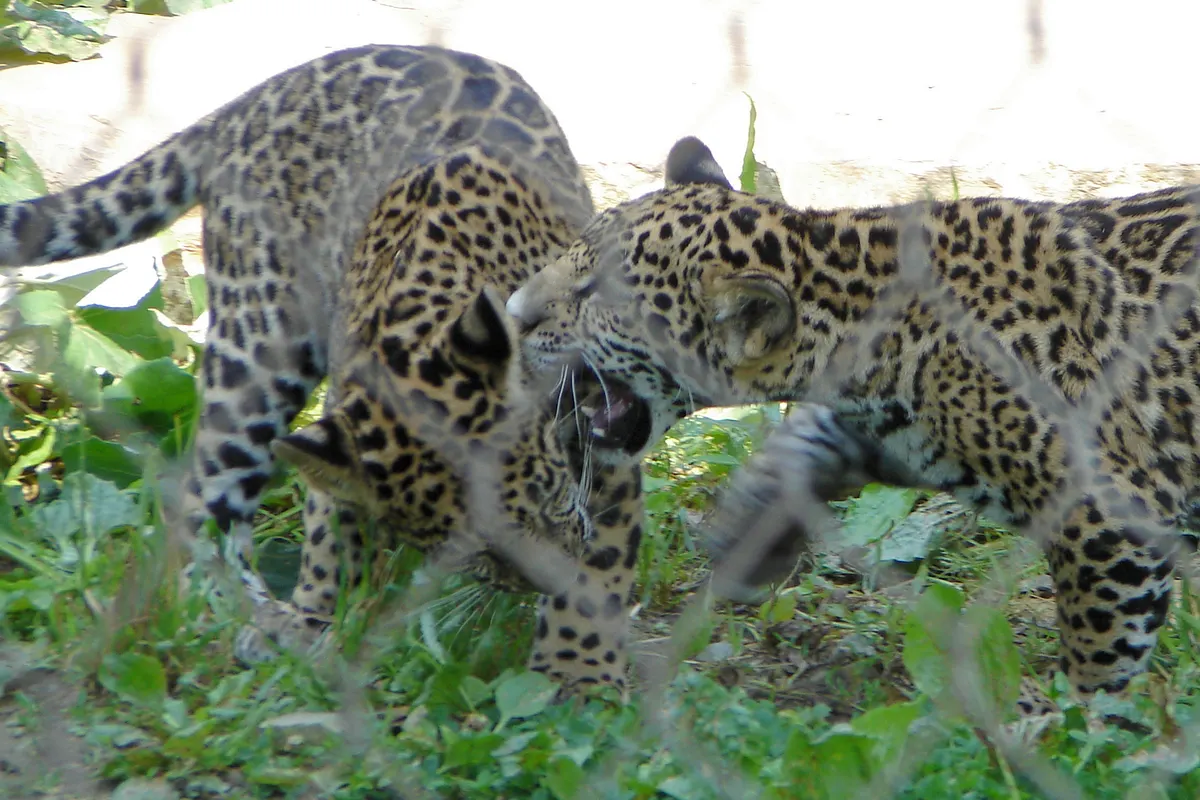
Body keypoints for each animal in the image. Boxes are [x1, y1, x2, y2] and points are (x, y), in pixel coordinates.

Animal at [0, 45, 646, 694]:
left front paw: (578, 674)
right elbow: (332, 524)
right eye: (466, 550)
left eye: (545, 495)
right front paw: (321, 621)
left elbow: (603, 558)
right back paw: (245, 619)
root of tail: (251, 100)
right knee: (204, 502)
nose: (536, 581)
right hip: (255, 347)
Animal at [507, 133, 1200, 710]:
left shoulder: (1111, 515)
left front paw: (1065, 720)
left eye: (596, 296)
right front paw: (749, 535)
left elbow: (1101, 644)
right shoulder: (889, 430)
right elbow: (803, 446)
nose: (514, 312)